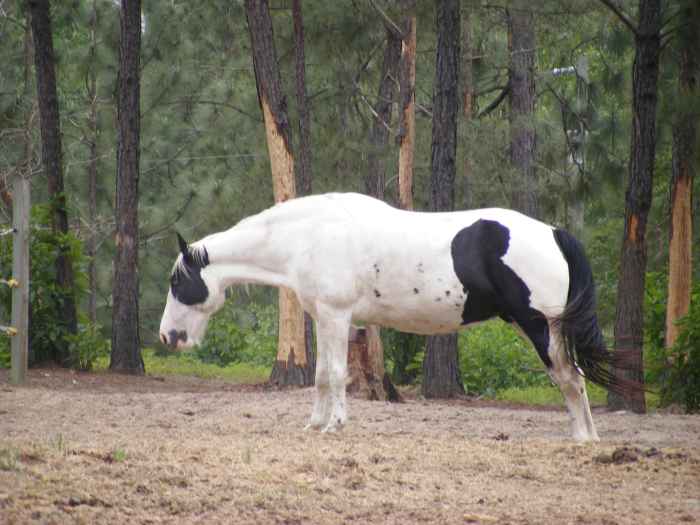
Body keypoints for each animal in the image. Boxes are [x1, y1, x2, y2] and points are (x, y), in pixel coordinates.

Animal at [159, 192, 631, 442]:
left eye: (177, 282)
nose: (168, 336)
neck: (309, 235)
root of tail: (553, 232)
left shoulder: (336, 316)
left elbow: (334, 374)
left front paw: (334, 426)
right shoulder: (325, 319)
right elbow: (323, 375)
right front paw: (317, 423)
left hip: (542, 328)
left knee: (570, 379)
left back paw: (584, 439)